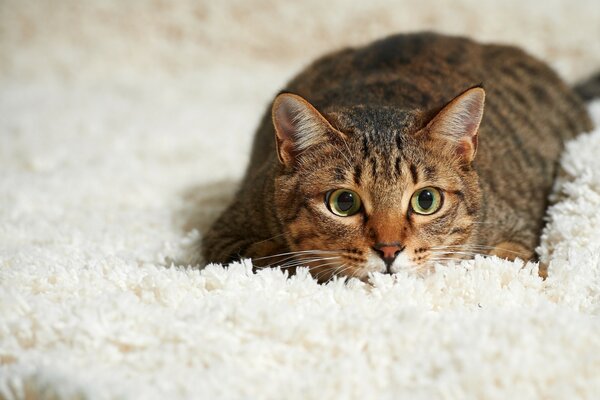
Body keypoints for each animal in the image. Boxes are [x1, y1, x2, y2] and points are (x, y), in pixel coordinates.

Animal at [202, 32, 596, 282]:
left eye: (427, 200)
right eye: (343, 202)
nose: (389, 251)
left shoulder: (516, 233)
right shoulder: (227, 236)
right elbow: (278, 257)